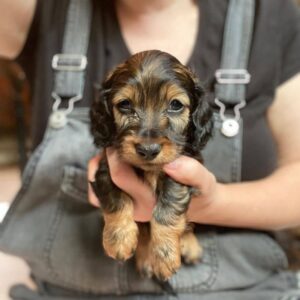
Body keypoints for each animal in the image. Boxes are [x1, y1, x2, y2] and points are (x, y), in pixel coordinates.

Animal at [90, 49, 212, 282]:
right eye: (125, 104)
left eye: (175, 105)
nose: (148, 150)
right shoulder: (105, 168)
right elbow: (116, 200)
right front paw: (118, 238)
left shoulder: (182, 171)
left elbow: (166, 210)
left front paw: (164, 254)